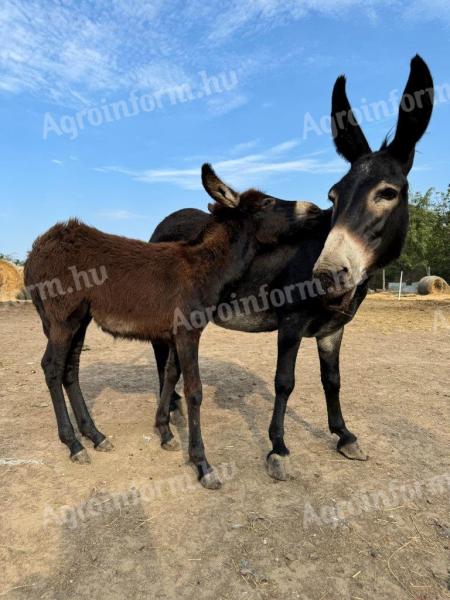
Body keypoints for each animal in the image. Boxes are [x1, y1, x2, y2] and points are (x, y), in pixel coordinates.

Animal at [23, 163, 316, 488]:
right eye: (267, 202)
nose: (315, 209)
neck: (203, 266)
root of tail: (38, 247)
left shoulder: (176, 333)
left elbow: (170, 375)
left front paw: (164, 431)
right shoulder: (188, 331)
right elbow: (193, 390)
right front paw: (202, 464)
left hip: (80, 319)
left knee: (69, 370)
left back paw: (95, 436)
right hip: (61, 320)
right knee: (51, 367)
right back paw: (73, 444)